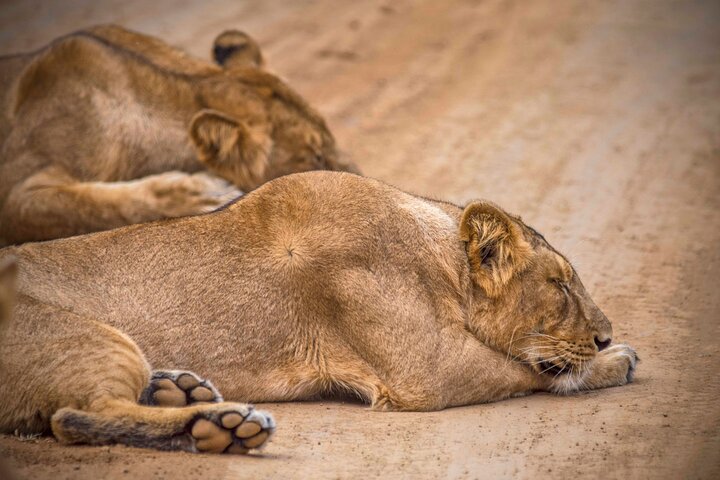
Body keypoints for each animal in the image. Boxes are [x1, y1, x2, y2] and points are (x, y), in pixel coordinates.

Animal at [0, 171, 637, 454]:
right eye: (560, 285)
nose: (605, 336)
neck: (438, 260)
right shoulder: (427, 371)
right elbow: (533, 370)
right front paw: (616, 362)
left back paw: (180, 391)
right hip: (99, 338)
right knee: (74, 417)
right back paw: (224, 424)